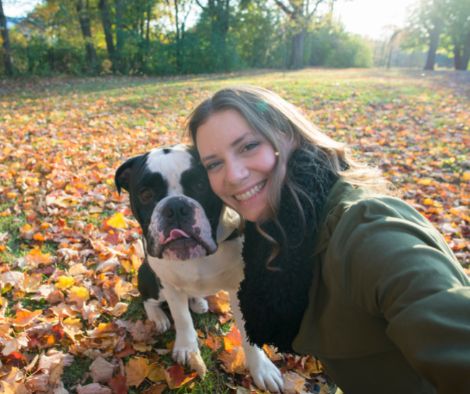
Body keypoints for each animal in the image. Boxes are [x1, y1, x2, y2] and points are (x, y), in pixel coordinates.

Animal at [114, 144, 282, 390]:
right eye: (145, 194)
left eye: (202, 186)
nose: (175, 206)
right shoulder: (170, 286)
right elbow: (182, 318)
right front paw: (187, 348)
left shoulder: (241, 288)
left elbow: (248, 334)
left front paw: (261, 367)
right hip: (150, 278)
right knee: (148, 300)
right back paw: (159, 317)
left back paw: (198, 302)